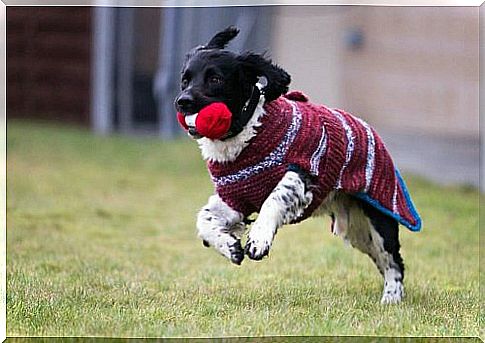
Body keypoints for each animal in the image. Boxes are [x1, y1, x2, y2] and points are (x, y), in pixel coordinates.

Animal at [174, 27, 408, 306]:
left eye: (215, 79)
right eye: (185, 80)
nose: (182, 101)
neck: (249, 130)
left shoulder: (301, 174)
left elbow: (274, 199)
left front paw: (259, 239)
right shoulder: (235, 197)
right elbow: (205, 218)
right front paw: (229, 246)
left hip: (379, 217)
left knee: (393, 261)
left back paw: (392, 297)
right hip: (357, 230)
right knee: (382, 259)